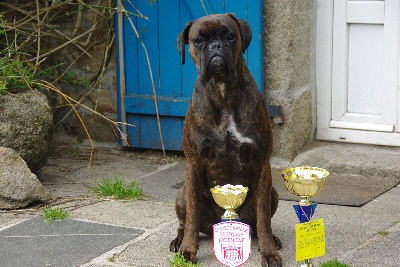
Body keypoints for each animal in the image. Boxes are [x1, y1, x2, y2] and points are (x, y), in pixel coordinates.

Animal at [170, 13, 282, 266]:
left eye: (230, 36)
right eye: (199, 40)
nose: (215, 46)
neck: (222, 91)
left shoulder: (261, 162)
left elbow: (263, 218)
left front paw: (269, 252)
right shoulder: (194, 163)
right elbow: (191, 218)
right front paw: (188, 250)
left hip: (272, 193)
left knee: (259, 224)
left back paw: (271, 238)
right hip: (182, 194)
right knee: (184, 223)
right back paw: (178, 241)